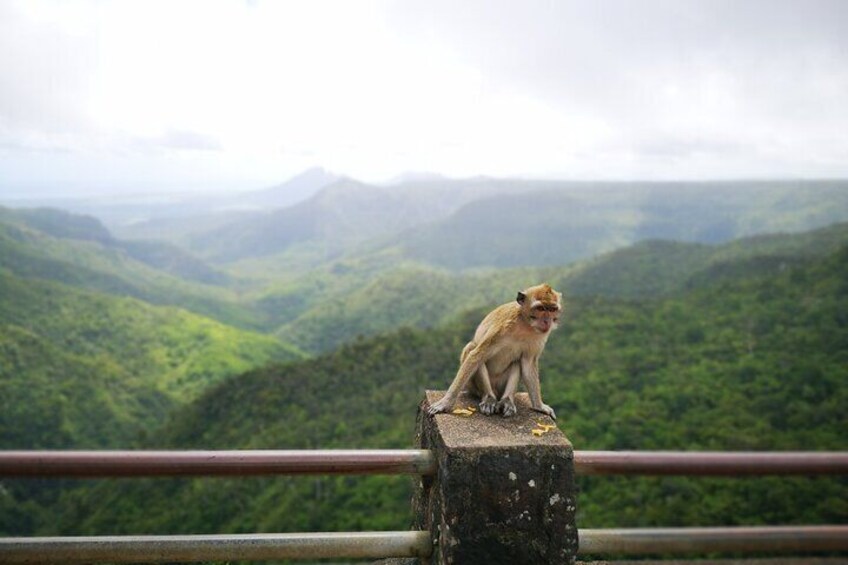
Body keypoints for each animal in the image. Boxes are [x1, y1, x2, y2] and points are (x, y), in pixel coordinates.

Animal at [428, 284, 560, 416]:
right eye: (541, 308)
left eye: (552, 309)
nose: (547, 321)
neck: (525, 324)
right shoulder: (500, 329)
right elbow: (476, 356)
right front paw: (445, 402)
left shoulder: (539, 338)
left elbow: (528, 364)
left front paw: (539, 406)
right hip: (473, 387)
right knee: (473, 349)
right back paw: (489, 398)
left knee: (517, 362)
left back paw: (507, 400)